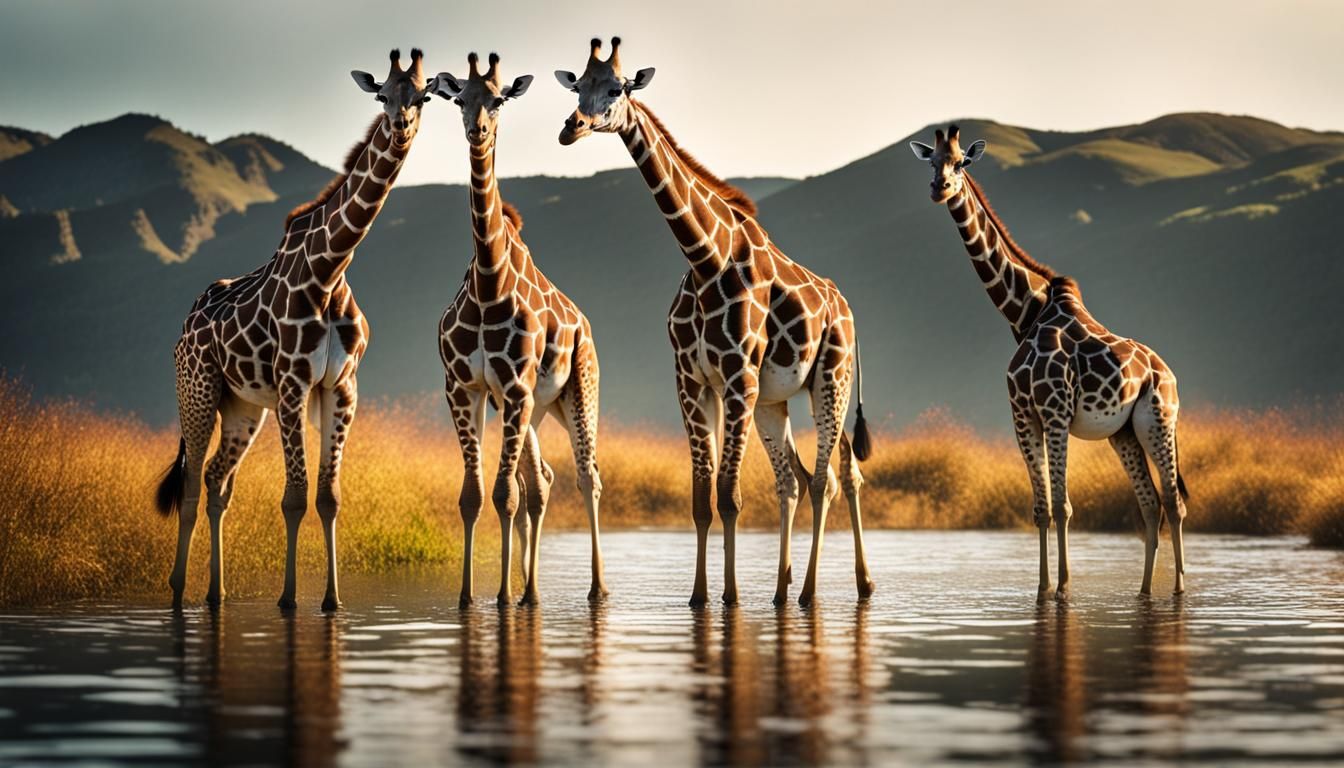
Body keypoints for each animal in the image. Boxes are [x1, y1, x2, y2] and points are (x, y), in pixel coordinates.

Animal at [153, 48, 431, 611]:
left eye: (424, 96)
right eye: (381, 94)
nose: (399, 128)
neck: (330, 270)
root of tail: (186, 326)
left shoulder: (341, 387)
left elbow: (328, 498)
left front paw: (332, 601)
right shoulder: (292, 384)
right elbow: (295, 498)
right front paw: (287, 599)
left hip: (242, 406)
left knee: (217, 481)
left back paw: (216, 594)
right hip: (197, 389)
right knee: (191, 485)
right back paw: (177, 593)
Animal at [428, 52, 606, 607]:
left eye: (500, 99)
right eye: (459, 99)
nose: (478, 131)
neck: (489, 283)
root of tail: (585, 323)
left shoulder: (514, 386)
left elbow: (504, 494)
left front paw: (503, 597)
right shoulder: (465, 388)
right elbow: (474, 495)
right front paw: (471, 598)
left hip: (576, 388)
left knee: (586, 477)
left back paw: (595, 589)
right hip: (533, 408)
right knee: (541, 480)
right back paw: (532, 592)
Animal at [555, 37, 875, 608]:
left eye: (616, 89)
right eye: (577, 88)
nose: (571, 126)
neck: (707, 259)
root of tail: (846, 308)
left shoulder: (737, 377)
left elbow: (729, 496)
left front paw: (730, 596)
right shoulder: (692, 381)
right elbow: (702, 498)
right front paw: (700, 596)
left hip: (830, 379)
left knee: (832, 481)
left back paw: (824, 589)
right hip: (775, 400)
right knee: (796, 480)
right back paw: (784, 589)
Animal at [909, 125, 1189, 601]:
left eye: (961, 162)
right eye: (931, 162)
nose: (937, 188)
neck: (1023, 313)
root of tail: (1168, 373)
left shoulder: (1055, 413)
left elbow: (1062, 506)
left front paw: (1064, 588)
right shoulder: (1023, 416)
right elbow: (1040, 507)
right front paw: (1042, 589)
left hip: (1158, 419)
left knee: (1173, 500)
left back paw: (1180, 588)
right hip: (1124, 433)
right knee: (1149, 502)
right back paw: (1143, 591)